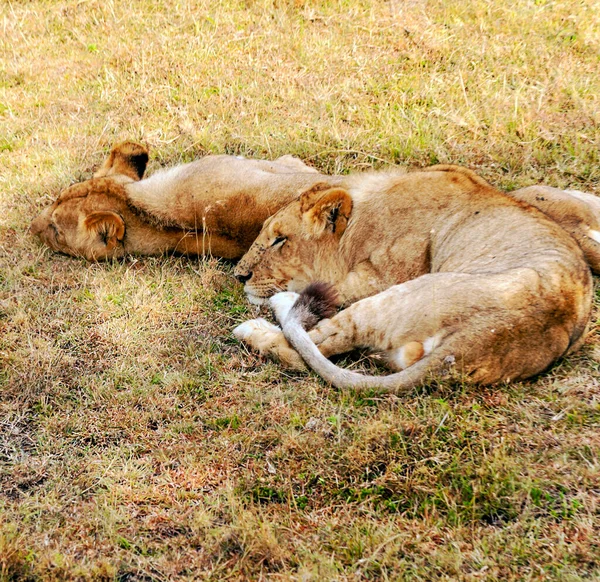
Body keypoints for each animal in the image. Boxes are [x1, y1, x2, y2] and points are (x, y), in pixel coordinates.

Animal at [232, 165, 592, 392]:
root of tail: (477, 340)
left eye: (280, 240)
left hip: (400, 296)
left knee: (306, 347)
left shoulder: (386, 275)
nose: (239, 276)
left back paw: (262, 321)